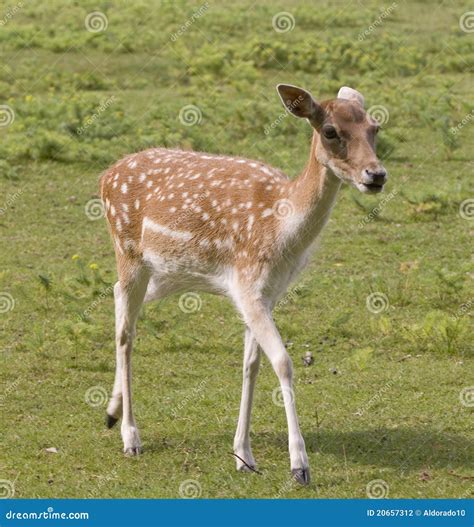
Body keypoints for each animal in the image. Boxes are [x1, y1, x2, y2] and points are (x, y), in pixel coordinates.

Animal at [100, 84, 388, 484]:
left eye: (375, 127)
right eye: (330, 131)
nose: (376, 174)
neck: (280, 229)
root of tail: (106, 175)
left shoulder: (267, 293)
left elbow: (251, 364)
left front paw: (243, 455)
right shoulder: (248, 285)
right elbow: (282, 361)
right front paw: (299, 465)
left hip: (168, 272)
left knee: (119, 299)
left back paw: (111, 413)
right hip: (127, 250)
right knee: (126, 332)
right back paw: (131, 436)